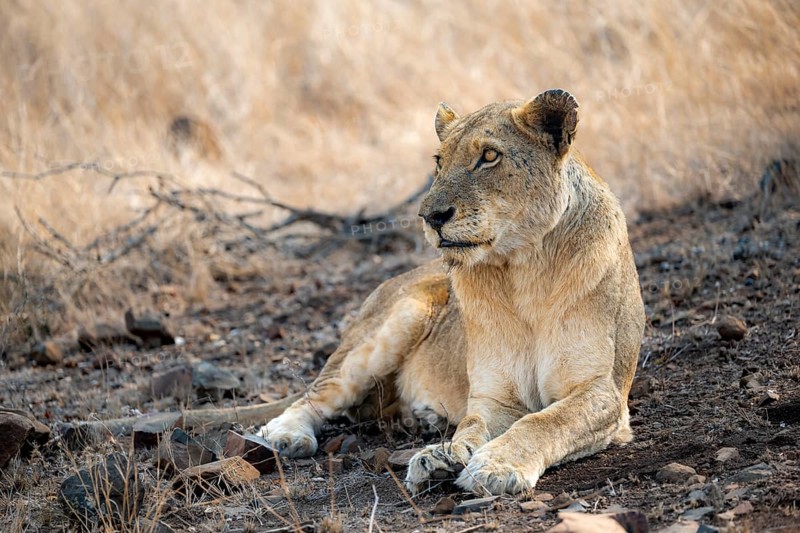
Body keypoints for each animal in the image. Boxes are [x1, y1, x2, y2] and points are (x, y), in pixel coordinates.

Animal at [256, 89, 645, 496]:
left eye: (489, 156)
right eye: (439, 162)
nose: (430, 216)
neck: (524, 272)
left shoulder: (602, 392)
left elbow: (543, 423)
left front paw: (493, 466)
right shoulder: (494, 396)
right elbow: (473, 425)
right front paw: (446, 457)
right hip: (395, 322)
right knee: (316, 394)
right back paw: (287, 435)